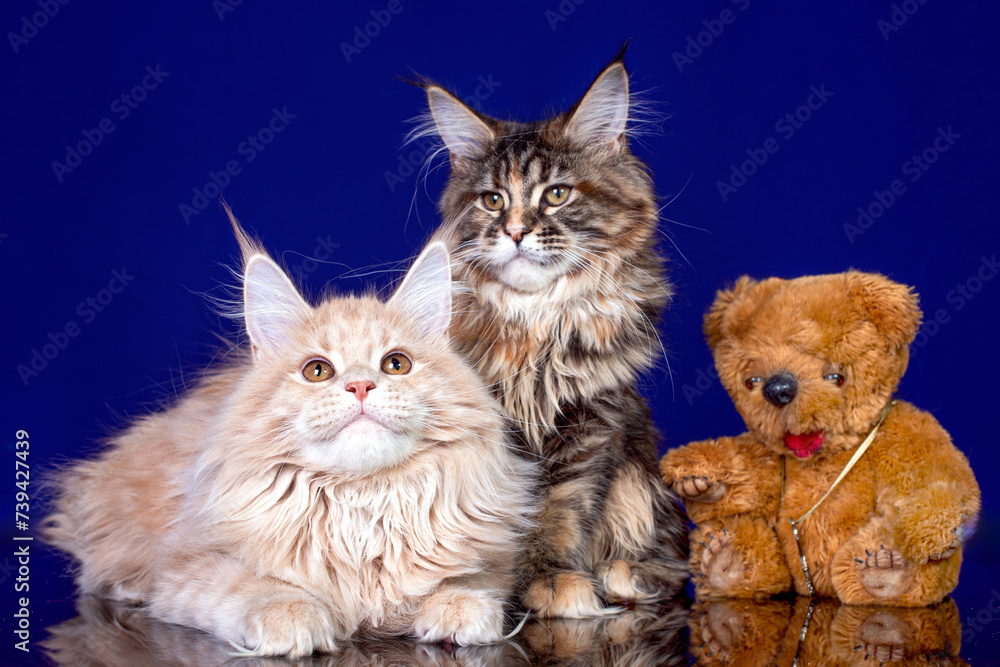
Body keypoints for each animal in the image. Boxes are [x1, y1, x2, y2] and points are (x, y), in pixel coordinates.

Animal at [412, 49, 688, 620]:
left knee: (670, 559)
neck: (533, 328)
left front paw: (551, 579)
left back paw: (625, 576)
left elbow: (557, 513)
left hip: (640, 479)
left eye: (557, 194)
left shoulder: (590, 421)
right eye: (493, 200)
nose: (516, 231)